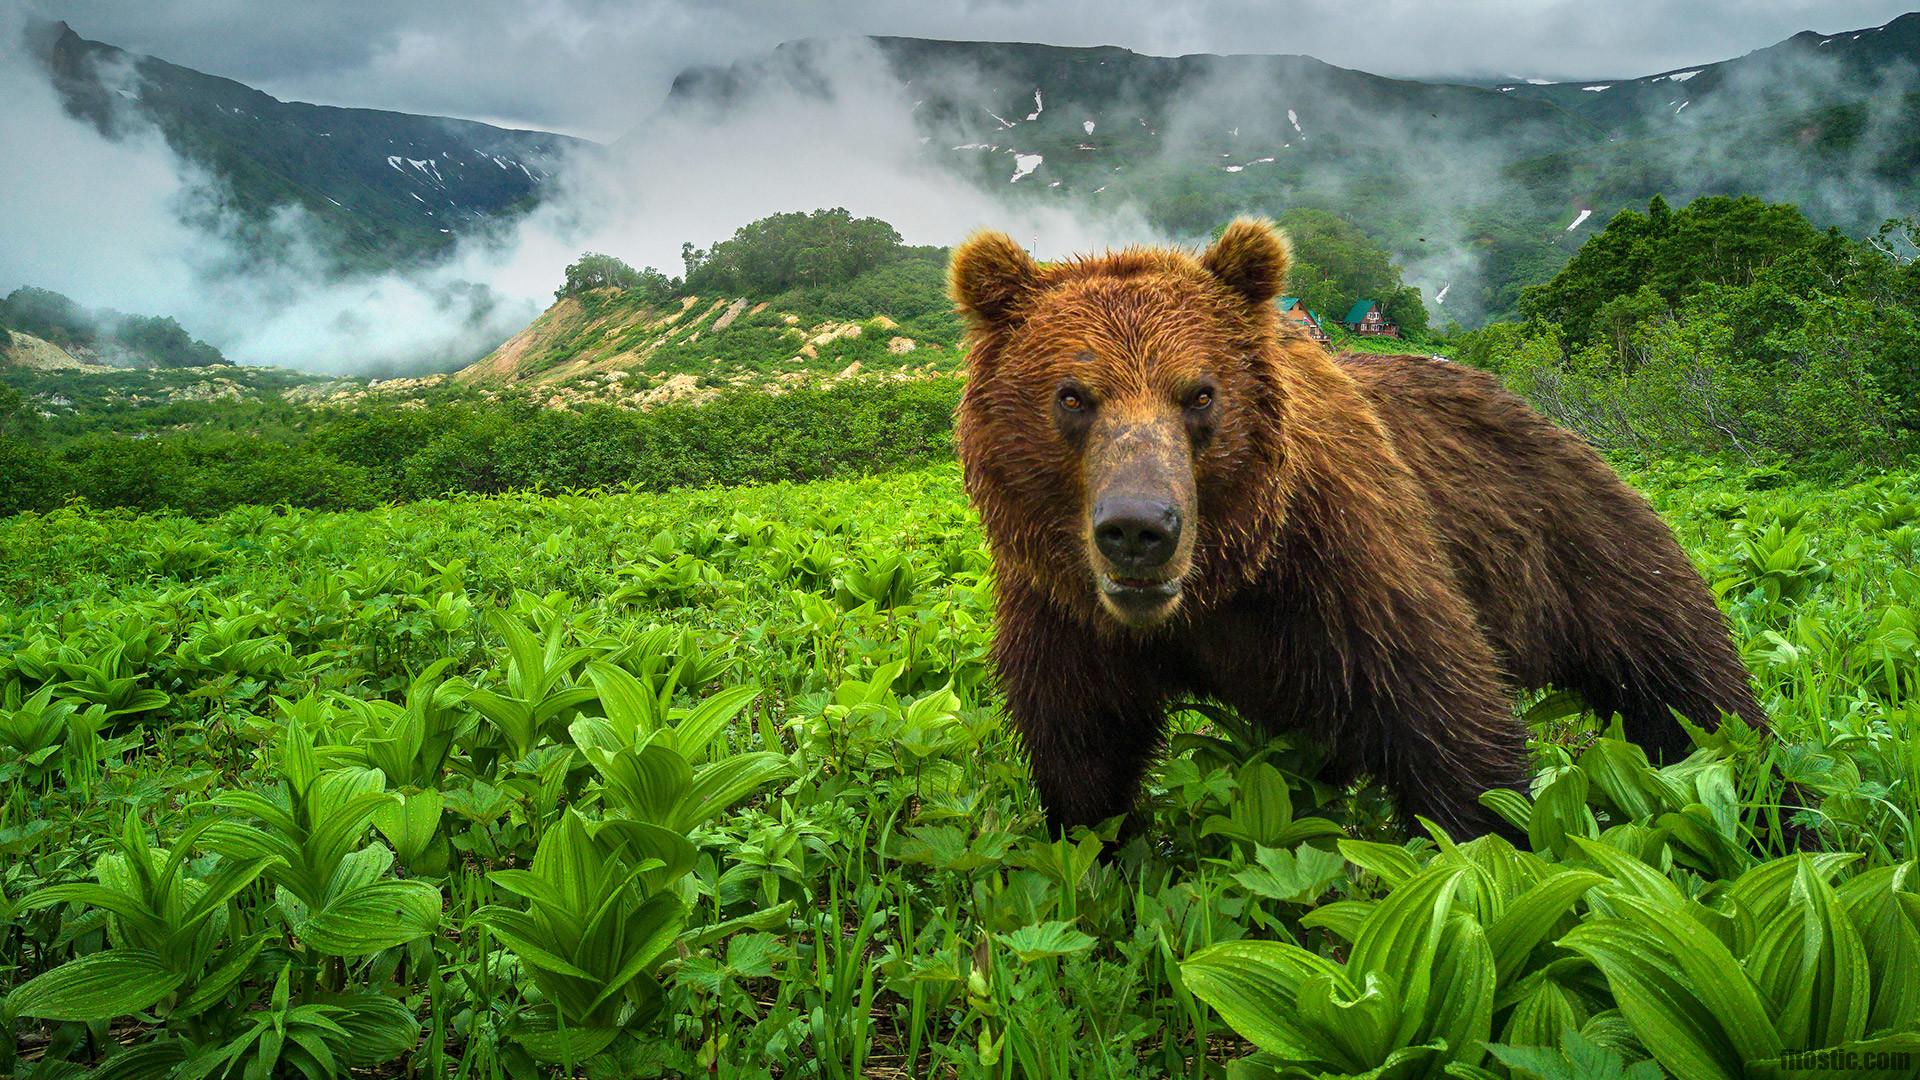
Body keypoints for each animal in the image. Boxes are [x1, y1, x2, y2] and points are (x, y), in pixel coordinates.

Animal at [944, 219, 1766, 837]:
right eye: (1073, 395)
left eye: (1201, 393)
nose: (1140, 528)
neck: (1220, 587)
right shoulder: (1063, 608)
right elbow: (1082, 748)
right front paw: (1103, 850)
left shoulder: (1347, 565)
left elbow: (1451, 724)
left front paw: (1487, 850)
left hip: (1586, 548)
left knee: (1687, 690)